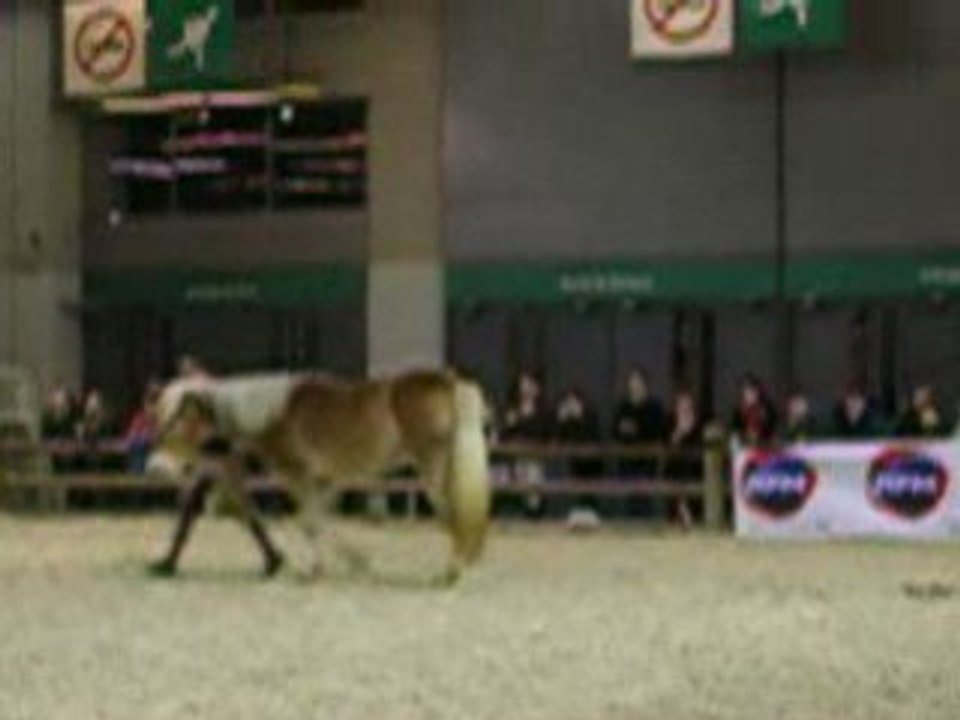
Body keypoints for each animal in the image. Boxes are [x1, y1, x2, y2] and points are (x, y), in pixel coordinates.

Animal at [147, 369, 492, 584]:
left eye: (180, 421)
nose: (155, 466)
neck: (274, 414)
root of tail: (447, 381)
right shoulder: (324, 481)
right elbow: (321, 522)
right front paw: (352, 562)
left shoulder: (299, 476)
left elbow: (309, 522)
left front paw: (314, 570)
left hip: (432, 469)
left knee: (452, 514)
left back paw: (452, 573)